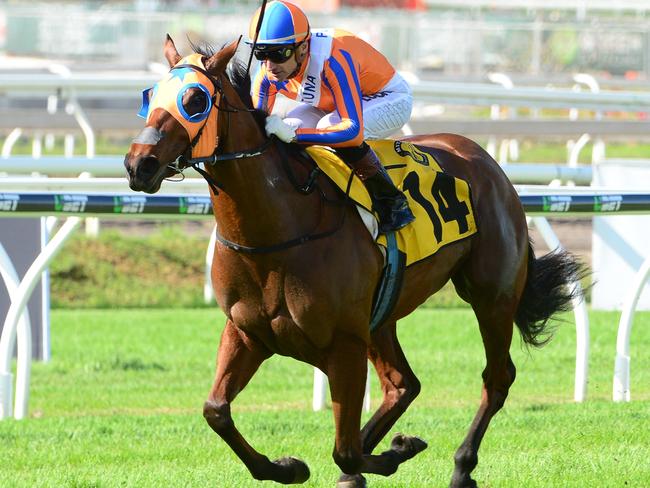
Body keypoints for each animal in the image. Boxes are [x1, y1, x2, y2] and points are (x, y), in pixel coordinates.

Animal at [124, 36, 584, 486]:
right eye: (150, 95)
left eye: (195, 100)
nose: (138, 163)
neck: (278, 231)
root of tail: (487, 162)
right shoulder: (246, 333)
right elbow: (216, 411)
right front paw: (289, 467)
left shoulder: (343, 345)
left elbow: (342, 448)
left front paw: (396, 451)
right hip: (382, 316)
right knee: (403, 385)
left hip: (491, 295)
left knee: (496, 377)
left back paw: (461, 465)